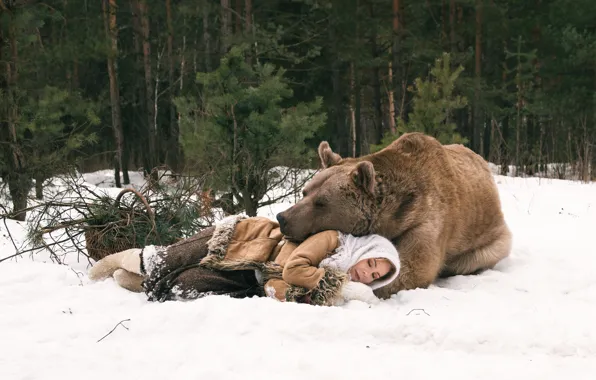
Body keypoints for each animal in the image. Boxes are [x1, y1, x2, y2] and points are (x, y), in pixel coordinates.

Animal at [274, 132, 512, 298]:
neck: (392, 216)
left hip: (489, 240)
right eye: (305, 192)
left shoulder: (426, 220)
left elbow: (412, 269)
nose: (283, 218)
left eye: (321, 203)